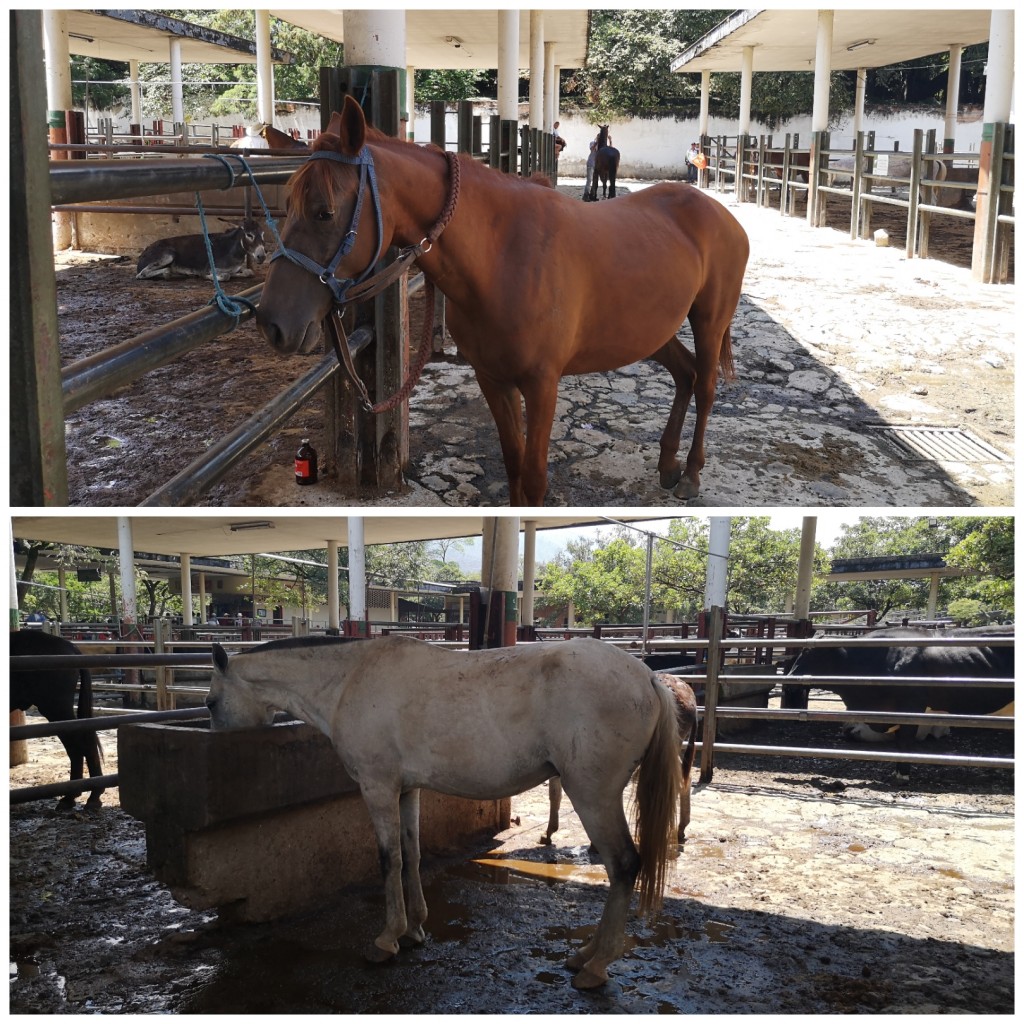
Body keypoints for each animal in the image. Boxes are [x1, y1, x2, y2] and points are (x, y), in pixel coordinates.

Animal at [257, 96, 749, 505]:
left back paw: (691, 473)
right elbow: (513, 466)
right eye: (287, 204)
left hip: (709, 321)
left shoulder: (542, 384)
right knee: (685, 375)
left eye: (324, 211)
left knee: (705, 386)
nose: (271, 322)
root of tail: (721, 216)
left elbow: (533, 477)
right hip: (652, 331)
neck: (501, 257)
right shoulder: (493, 379)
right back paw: (667, 465)